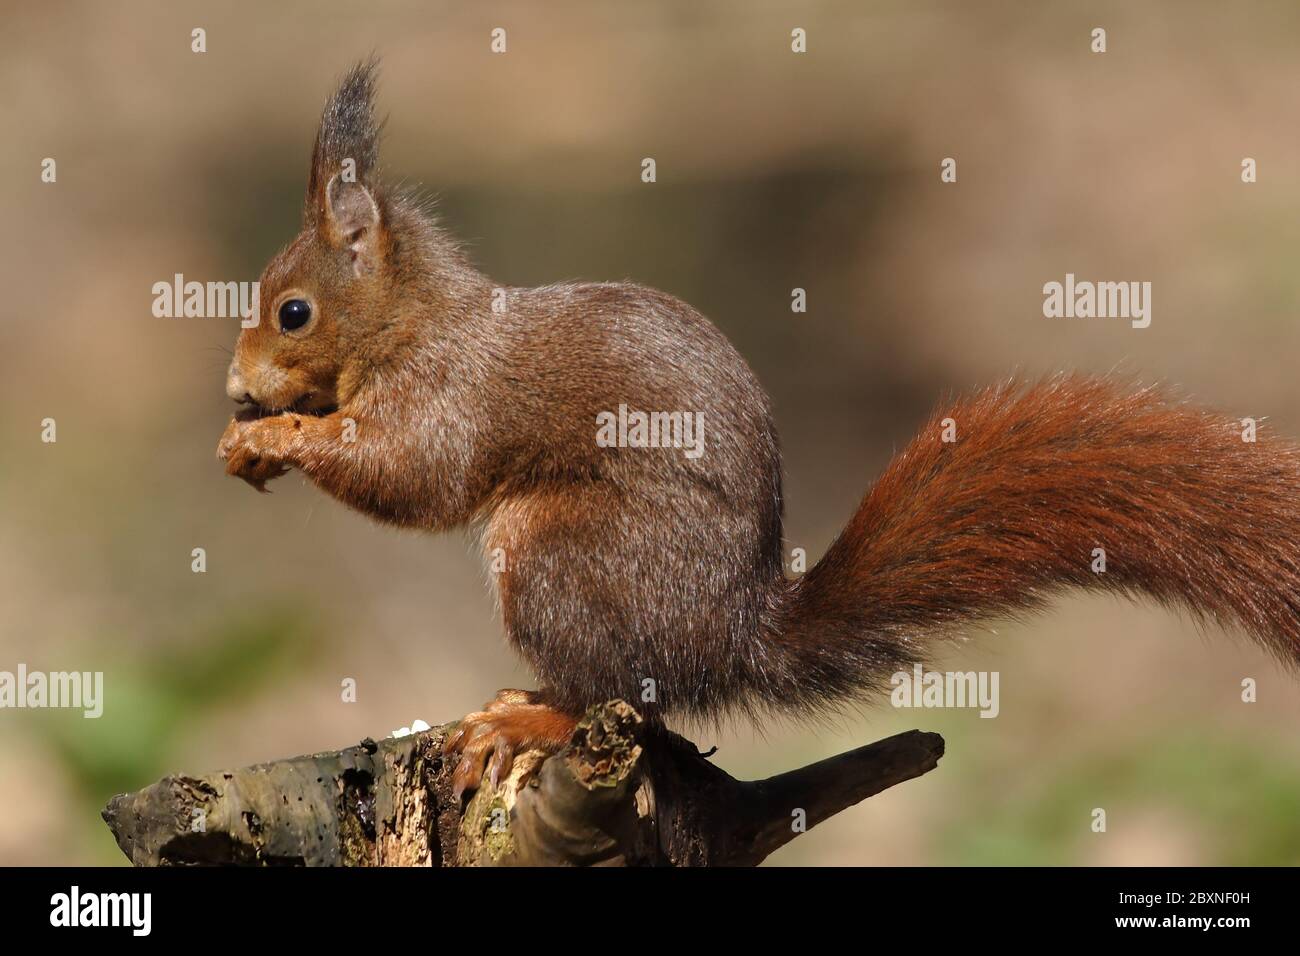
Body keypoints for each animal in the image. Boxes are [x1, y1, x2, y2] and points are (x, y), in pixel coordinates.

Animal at [218, 61, 1300, 801]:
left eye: (293, 313)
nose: (234, 390)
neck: (414, 320)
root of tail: (730, 634)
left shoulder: (450, 395)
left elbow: (414, 476)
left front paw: (280, 439)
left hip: (555, 556)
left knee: (620, 687)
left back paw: (531, 714)